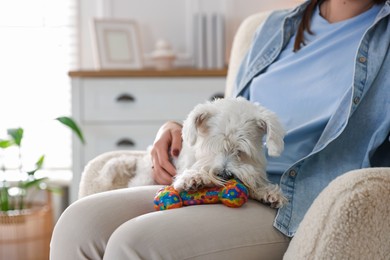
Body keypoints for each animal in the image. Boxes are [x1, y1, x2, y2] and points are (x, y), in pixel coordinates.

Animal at [102, 96, 288, 208]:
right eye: (213, 147)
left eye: (241, 151)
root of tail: (144, 157)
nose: (225, 174)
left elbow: (254, 181)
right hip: (145, 178)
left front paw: (268, 192)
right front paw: (194, 179)